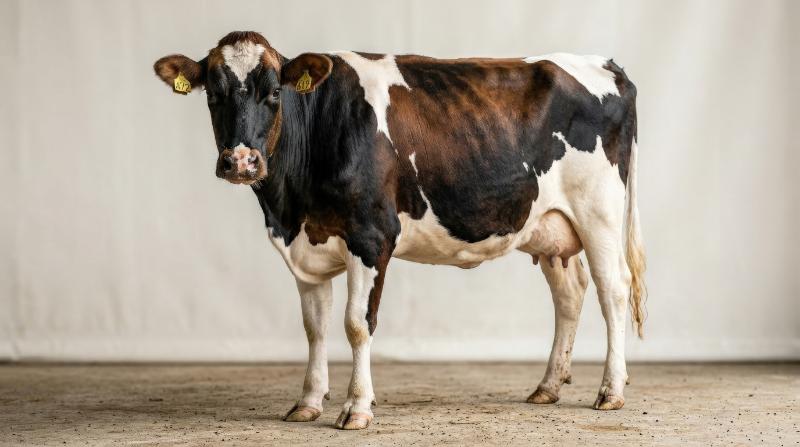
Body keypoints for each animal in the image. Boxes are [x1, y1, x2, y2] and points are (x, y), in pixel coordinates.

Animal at [153, 31, 646, 430]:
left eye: (274, 91)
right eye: (213, 94)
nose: (240, 161)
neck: (290, 208)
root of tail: (605, 64)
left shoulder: (371, 236)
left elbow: (356, 324)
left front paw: (356, 407)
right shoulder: (308, 246)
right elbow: (314, 328)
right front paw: (308, 402)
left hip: (599, 210)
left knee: (612, 289)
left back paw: (611, 390)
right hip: (550, 226)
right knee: (570, 293)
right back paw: (548, 386)